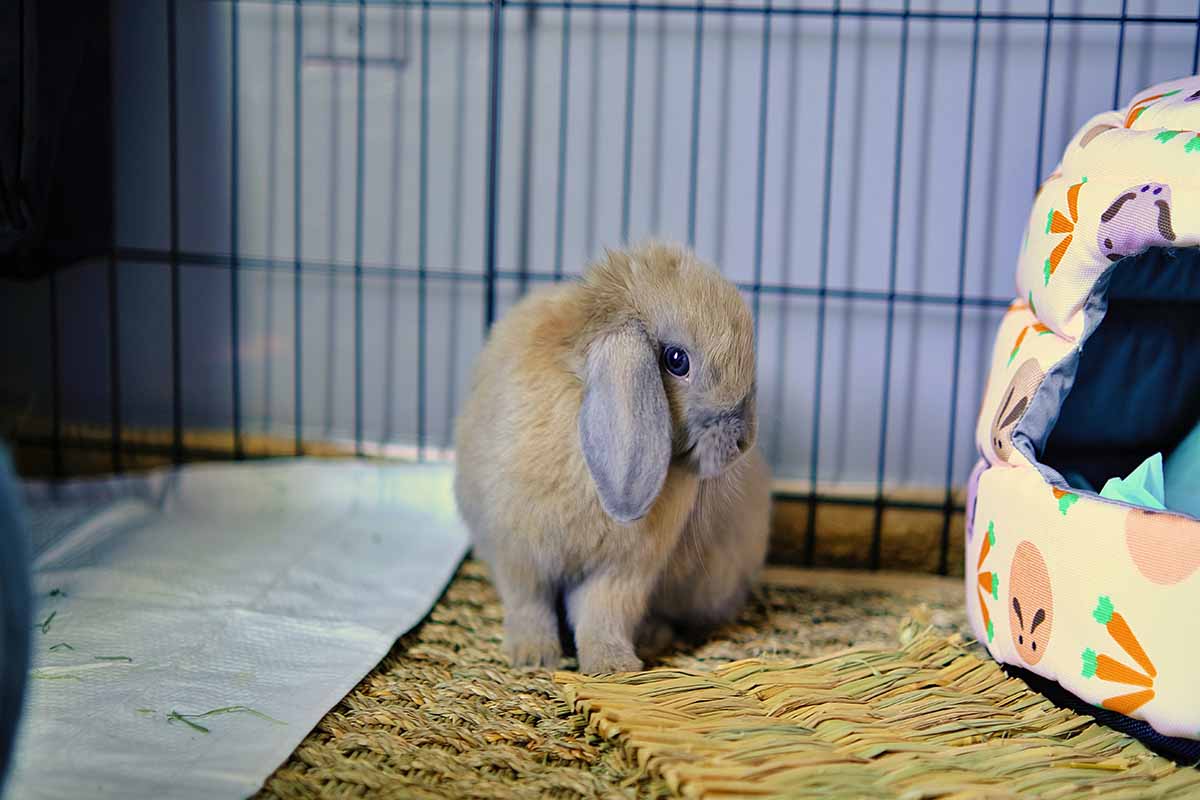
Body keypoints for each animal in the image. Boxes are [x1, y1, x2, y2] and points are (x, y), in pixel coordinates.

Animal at [453, 244, 772, 676]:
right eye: (676, 360)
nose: (742, 442)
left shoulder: (623, 571)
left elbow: (602, 616)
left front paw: (614, 666)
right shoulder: (518, 555)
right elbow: (529, 605)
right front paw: (533, 656)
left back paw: (652, 635)